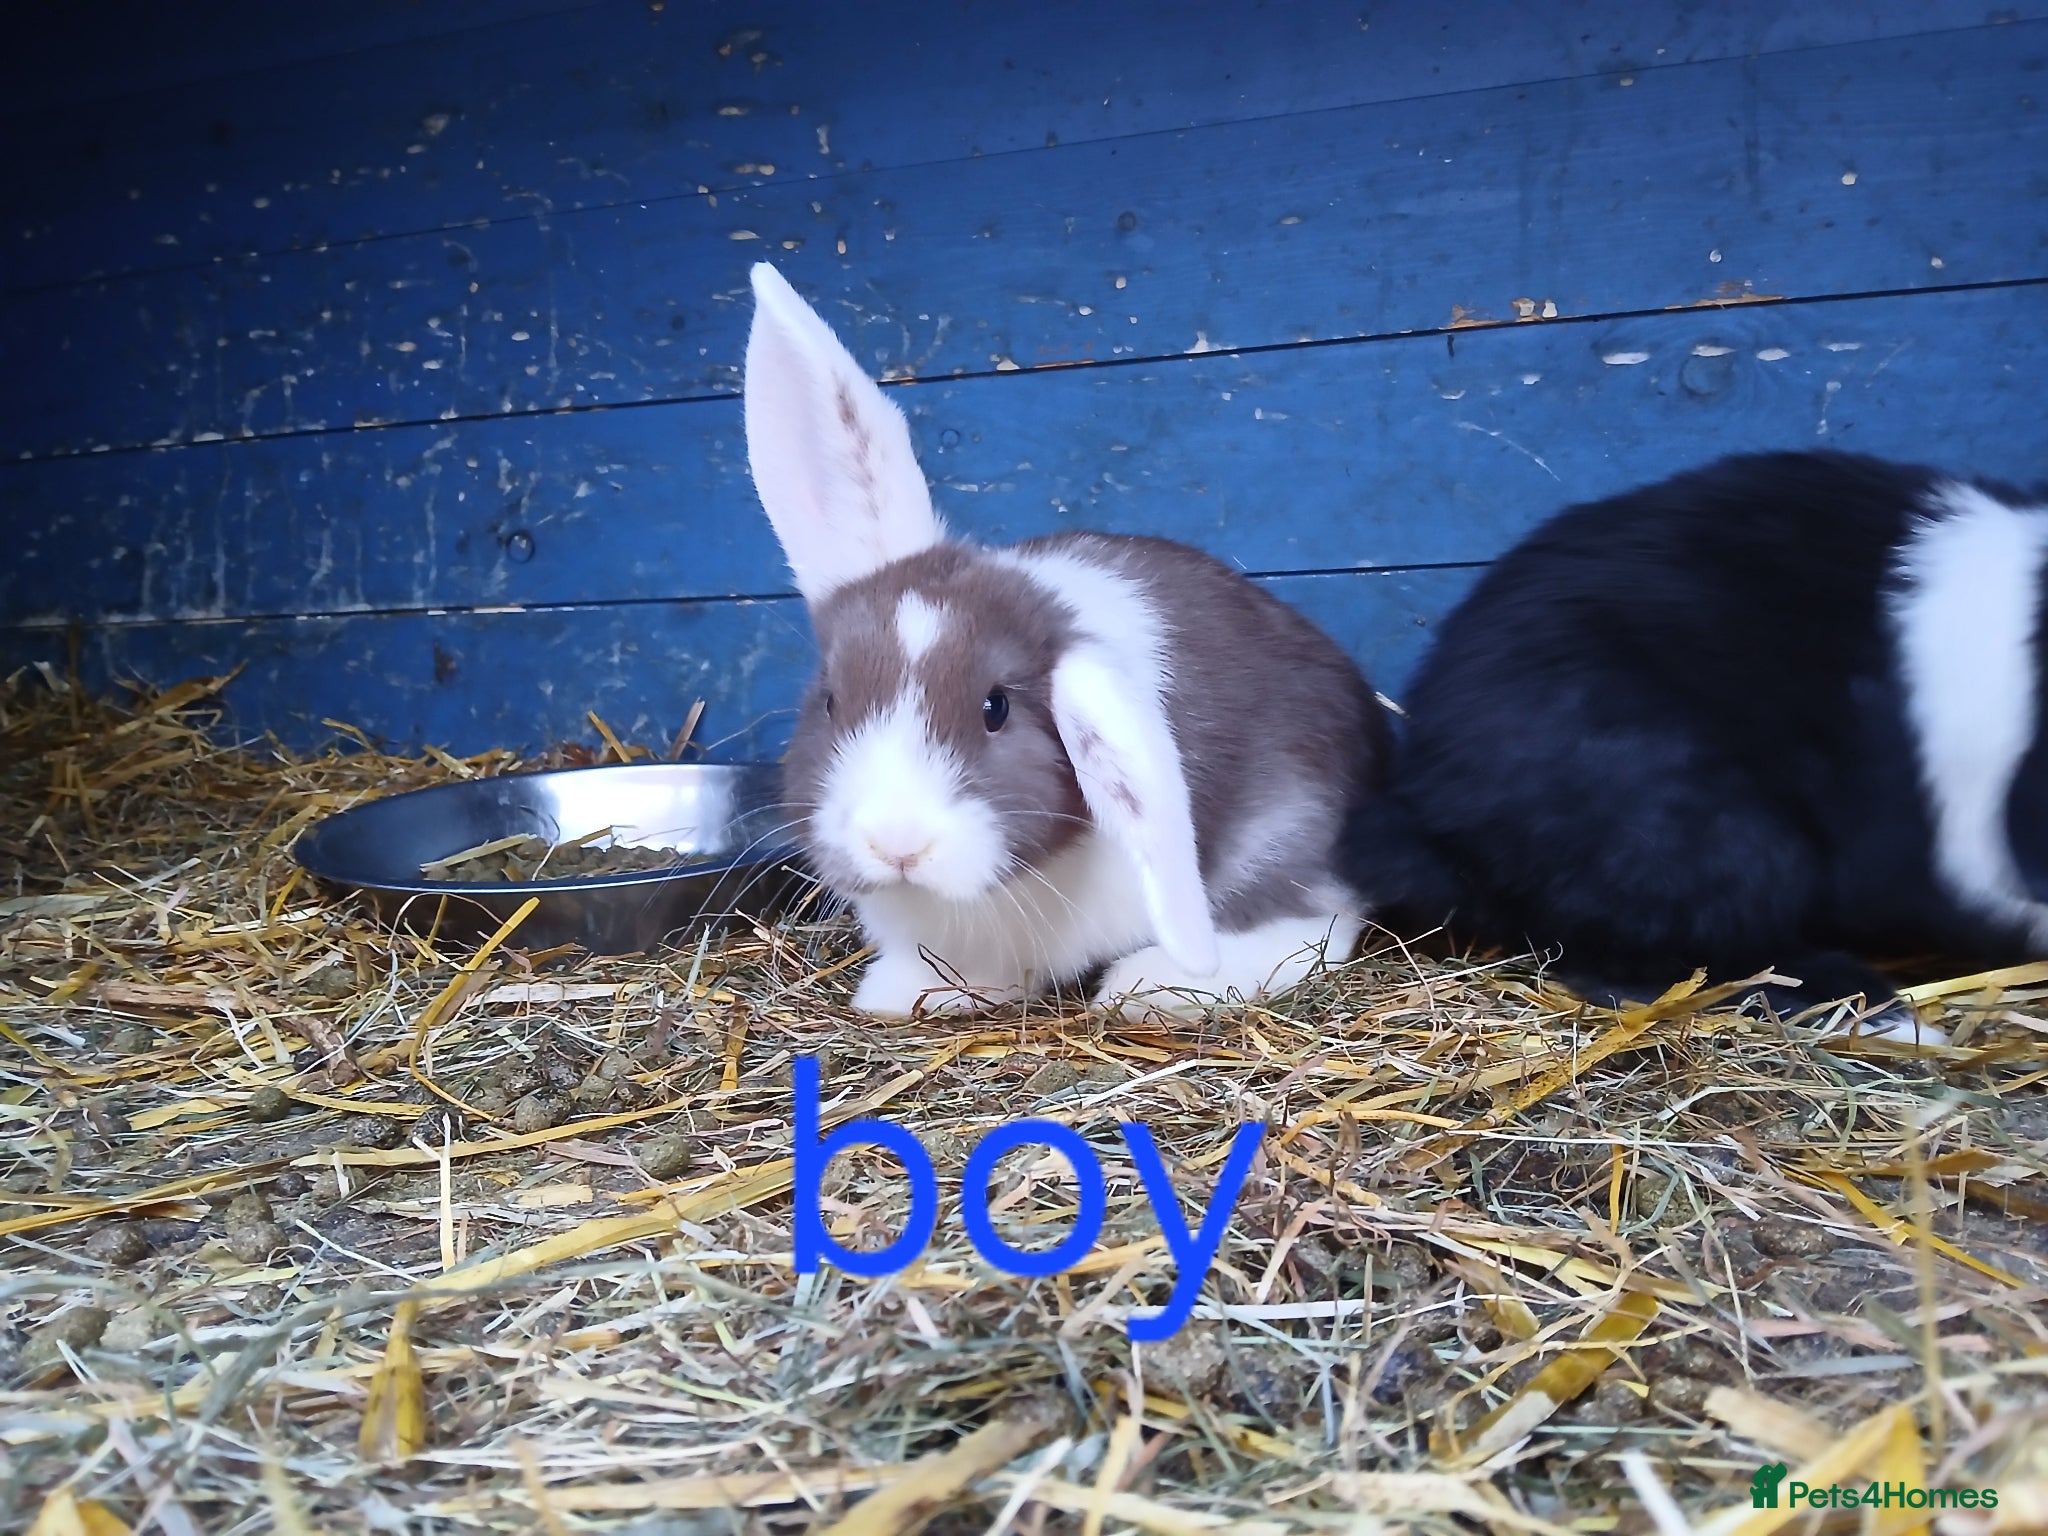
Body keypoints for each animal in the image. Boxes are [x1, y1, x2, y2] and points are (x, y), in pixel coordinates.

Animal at [741, 262, 1389, 1016]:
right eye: (831, 702)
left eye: (996, 708)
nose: (897, 844)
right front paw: (903, 991)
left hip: (1289, 826)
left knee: (1316, 921)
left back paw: (1149, 987)